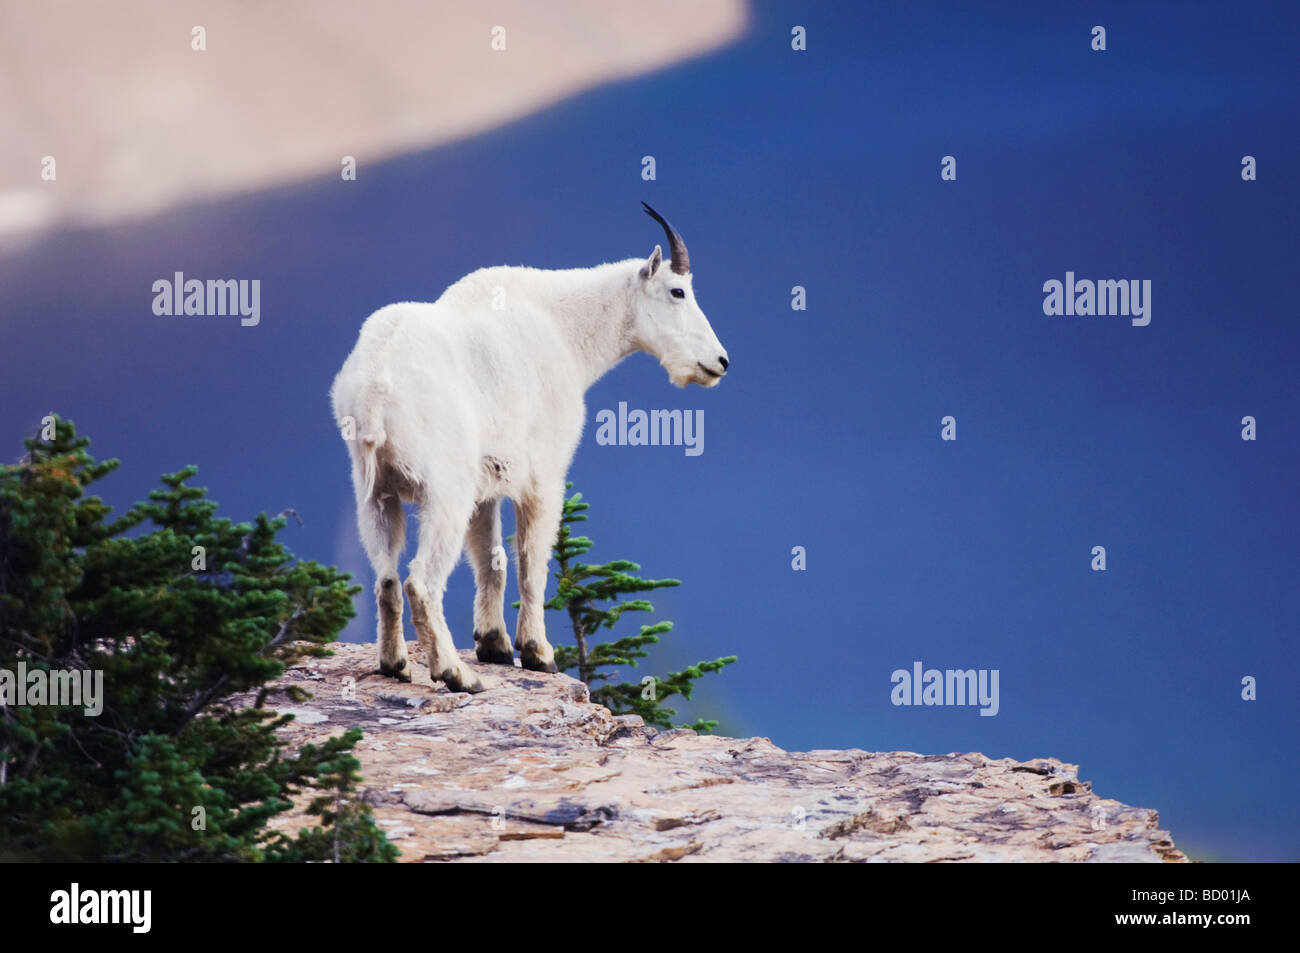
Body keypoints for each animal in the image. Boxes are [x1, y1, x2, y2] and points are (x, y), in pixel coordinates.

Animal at [330, 204, 729, 692]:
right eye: (677, 291)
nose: (720, 362)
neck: (564, 329)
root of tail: (374, 387)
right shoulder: (544, 475)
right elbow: (530, 563)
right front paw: (538, 653)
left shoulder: (486, 486)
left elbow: (492, 561)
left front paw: (494, 645)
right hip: (445, 490)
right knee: (420, 582)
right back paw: (456, 673)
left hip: (374, 492)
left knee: (386, 579)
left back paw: (396, 664)